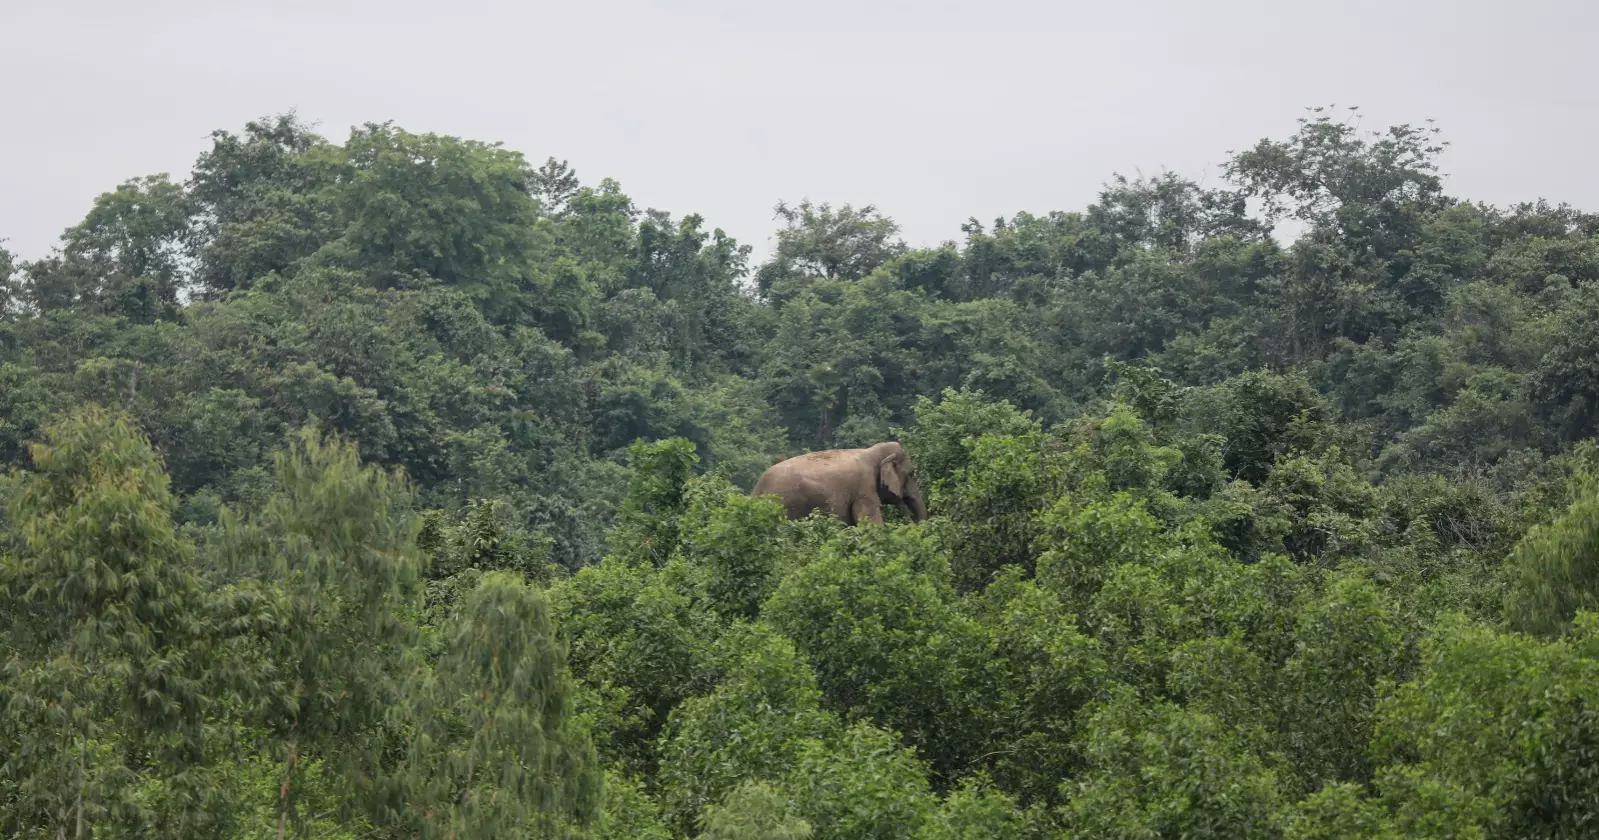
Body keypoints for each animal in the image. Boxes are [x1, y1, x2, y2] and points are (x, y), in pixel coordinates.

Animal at [751, 441, 928, 526]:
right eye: (912, 474)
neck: (872, 451)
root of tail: (758, 488)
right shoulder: (864, 490)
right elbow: (871, 524)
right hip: (787, 504)